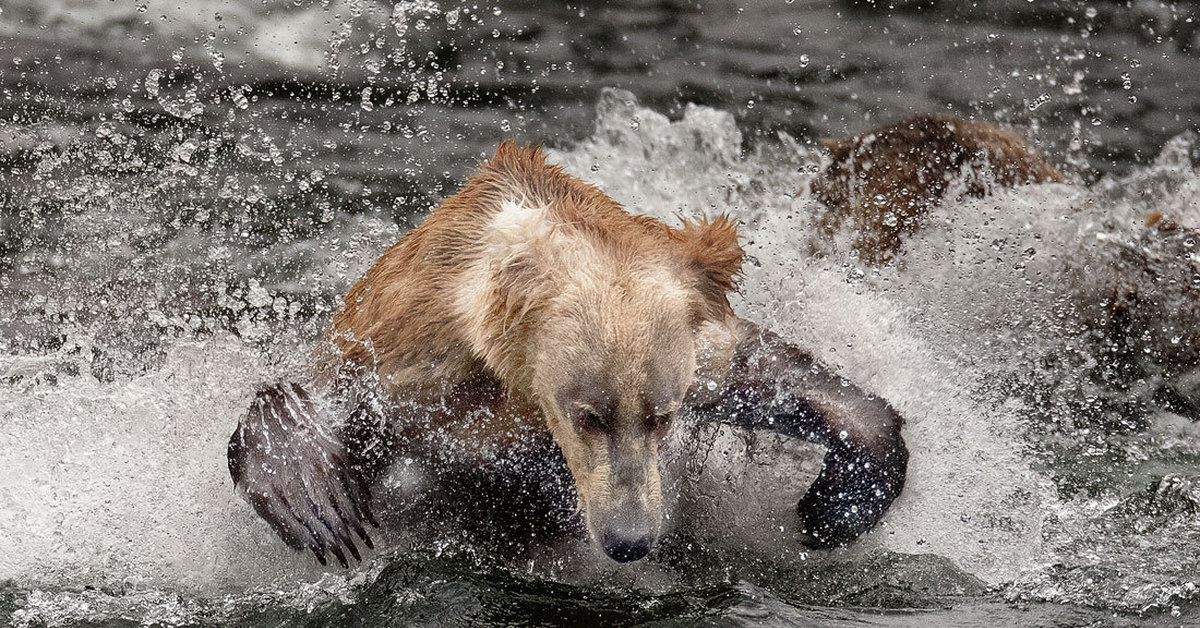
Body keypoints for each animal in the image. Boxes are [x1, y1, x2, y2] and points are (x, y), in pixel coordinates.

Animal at [225, 145, 902, 566]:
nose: (630, 538)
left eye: (662, 416)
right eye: (588, 415)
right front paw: (317, 502)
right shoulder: (412, 367)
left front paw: (832, 506)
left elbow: (775, 374)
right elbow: (319, 397)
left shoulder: (696, 345)